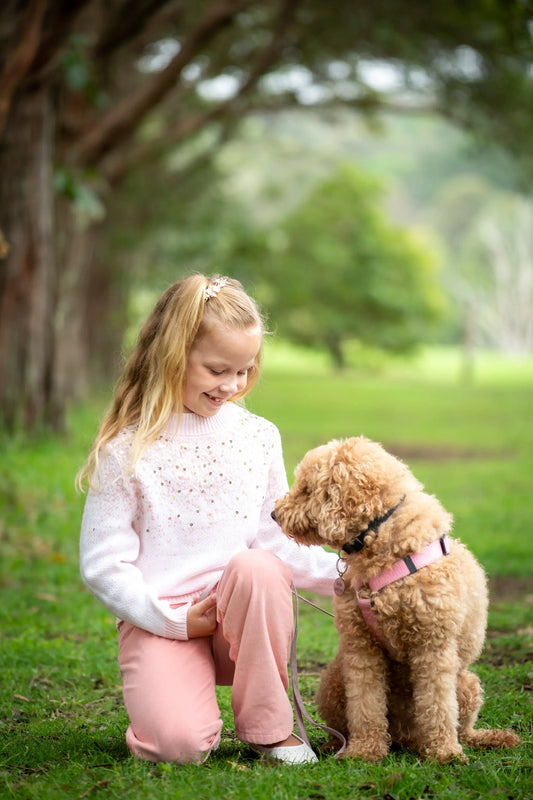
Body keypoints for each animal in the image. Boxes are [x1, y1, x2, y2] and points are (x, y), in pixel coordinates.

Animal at [274, 438, 520, 764]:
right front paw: (364, 751)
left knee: (463, 728)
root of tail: (405, 737)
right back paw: (335, 746)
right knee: (342, 725)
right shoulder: (361, 647)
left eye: (305, 488)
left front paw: (444, 752)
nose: (274, 514)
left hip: (466, 682)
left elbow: (438, 705)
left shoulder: (433, 646)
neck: (380, 539)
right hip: (333, 682)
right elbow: (365, 705)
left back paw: (483, 739)